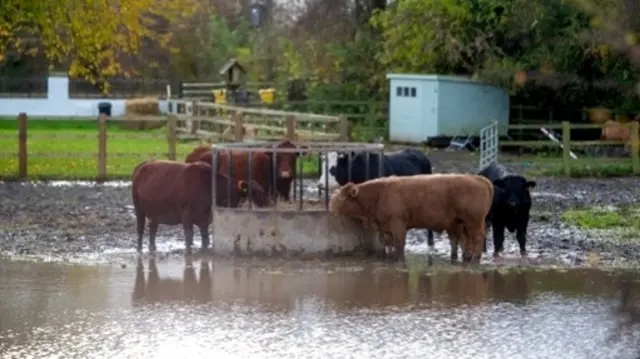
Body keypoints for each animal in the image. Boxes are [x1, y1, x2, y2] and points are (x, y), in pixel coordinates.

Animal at [131, 160, 268, 253]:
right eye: (256, 193)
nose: (267, 203)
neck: (208, 186)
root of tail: (143, 165)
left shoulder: (205, 218)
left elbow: (205, 237)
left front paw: (204, 250)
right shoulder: (186, 212)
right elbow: (189, 234)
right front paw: (188, 252)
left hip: (155, 212)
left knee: (152, 228)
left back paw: (152, 248)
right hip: (138, 207)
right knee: (140, 228)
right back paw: (139, 249)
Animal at [330, 174, 496, 262]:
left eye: (342, 198)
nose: (331, 209)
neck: (379, 194)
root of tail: (478, 178)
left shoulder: (398, 224)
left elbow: (399, 244)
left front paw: (399, 258)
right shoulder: (385, 227)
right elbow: (388, 244)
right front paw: (389, 256)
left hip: (474, 221)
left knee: (477, 237)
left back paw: (476, 257)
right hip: (461, 222)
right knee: (463, 240)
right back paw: (465, 256)